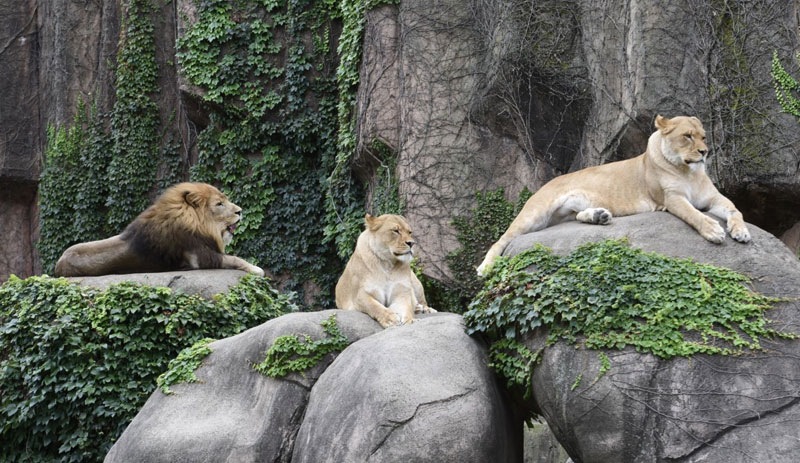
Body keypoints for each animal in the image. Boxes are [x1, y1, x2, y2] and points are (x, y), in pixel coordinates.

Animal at [54, 181, 266, 278]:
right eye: (219, 204)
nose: (240, 211)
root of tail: (58, 264)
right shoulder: (200, 258)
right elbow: (235, 258)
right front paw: (257, 269)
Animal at [478, 115, 752, 276]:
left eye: (703, 136)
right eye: (687, 136)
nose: (705, 152)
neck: (689, 172)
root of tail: (548, 182)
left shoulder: (713, 198)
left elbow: (735, 209)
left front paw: (741, 232)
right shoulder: (671, 199)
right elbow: (693, 214)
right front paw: (713, 230)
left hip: (563, 214)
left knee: (576, 217)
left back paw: (599, 216)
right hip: (535, 213)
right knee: (502, 239)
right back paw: (485, 267)